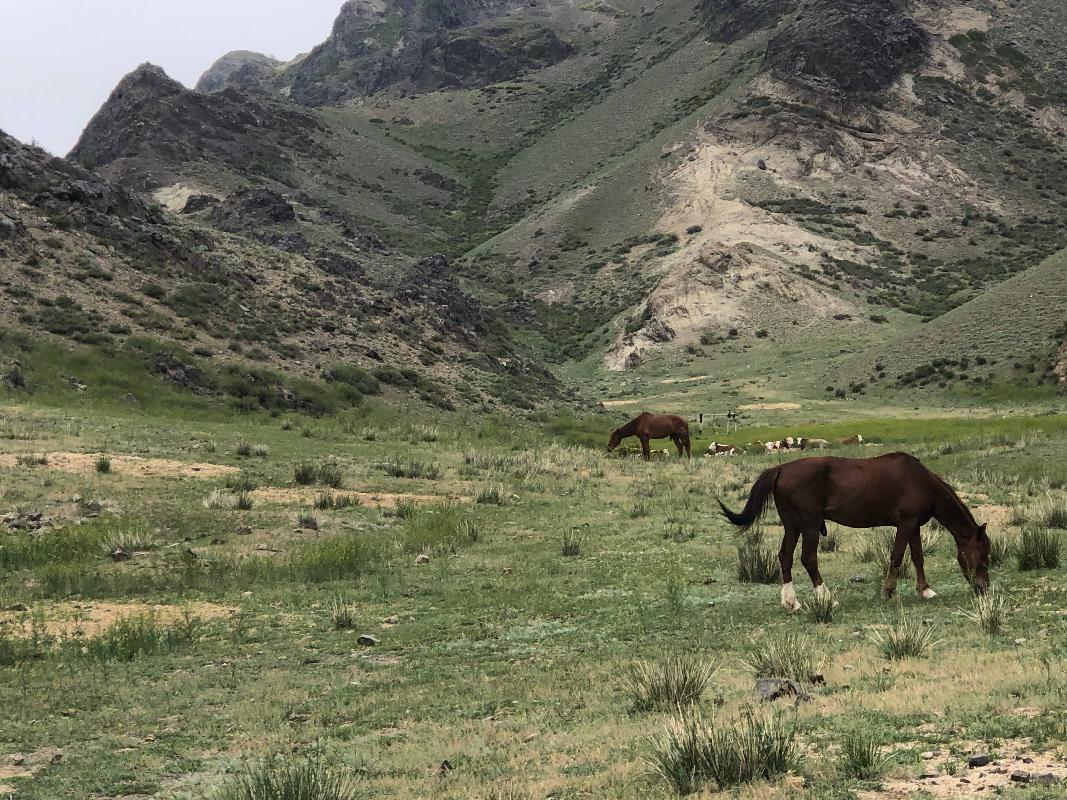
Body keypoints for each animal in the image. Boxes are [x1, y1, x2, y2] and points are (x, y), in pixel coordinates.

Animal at [717, 452, 990, 612]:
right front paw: (888, 591)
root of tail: (781, 469)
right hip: (809, 526)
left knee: (785, 557)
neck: (921, 482)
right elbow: (897, 557)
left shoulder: (913, 526)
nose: (983, 588)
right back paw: (826, 597)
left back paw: (792, 601)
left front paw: (925, 590)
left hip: (792, 526)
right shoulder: (906, 524)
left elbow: (917, 557)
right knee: (809, 559)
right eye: (984, 556)